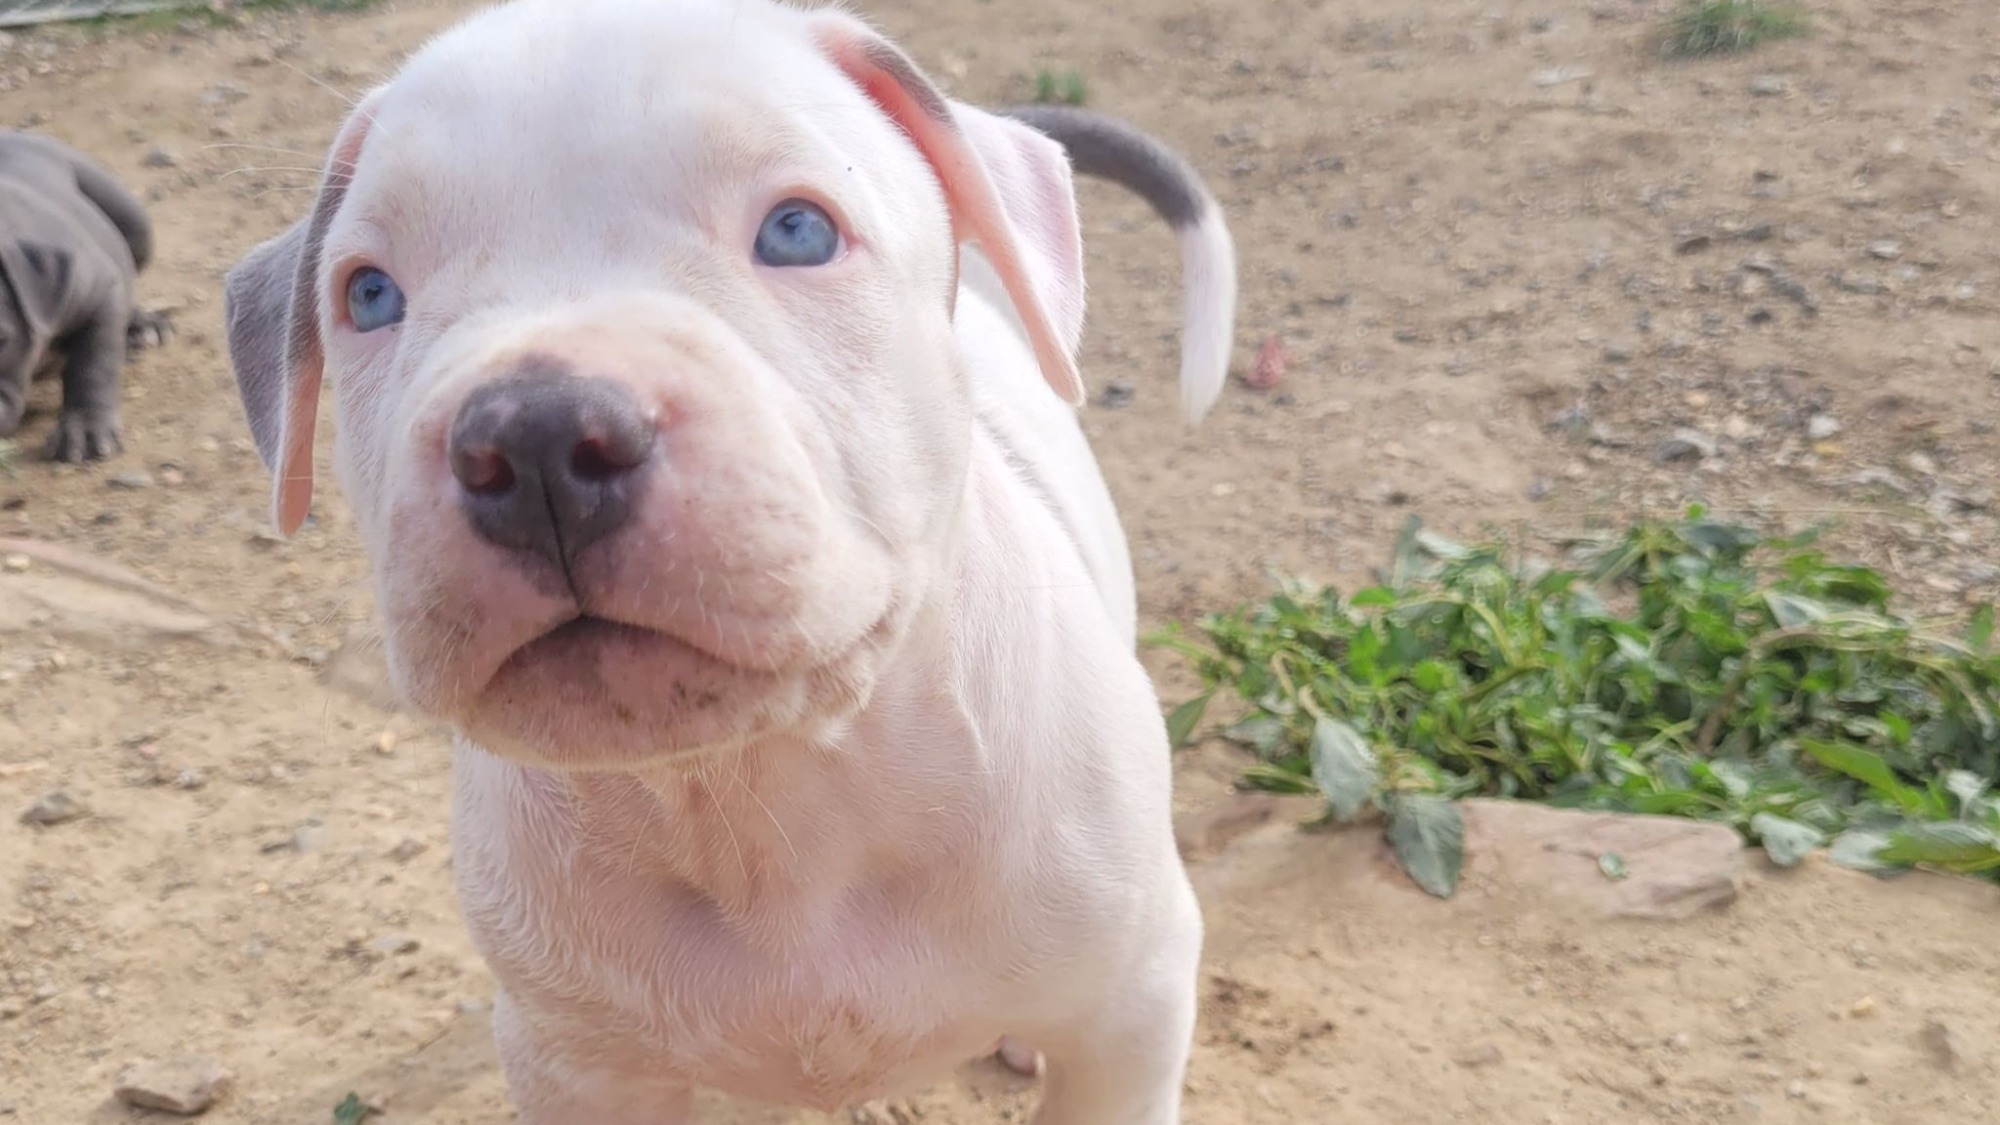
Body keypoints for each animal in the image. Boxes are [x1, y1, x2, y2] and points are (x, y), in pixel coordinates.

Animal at [0, 130, 168, 460]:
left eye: (0, 341)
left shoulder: (100, 290)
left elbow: (93, 362)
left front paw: (86, 430)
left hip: (130, 218)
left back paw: (143, 328)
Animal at [227, 4, 1240, 1112]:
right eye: (369, 295)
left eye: (798, 231)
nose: (535, 440)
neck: (761, 790)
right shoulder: (569, 1066)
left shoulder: (1134, 1011)